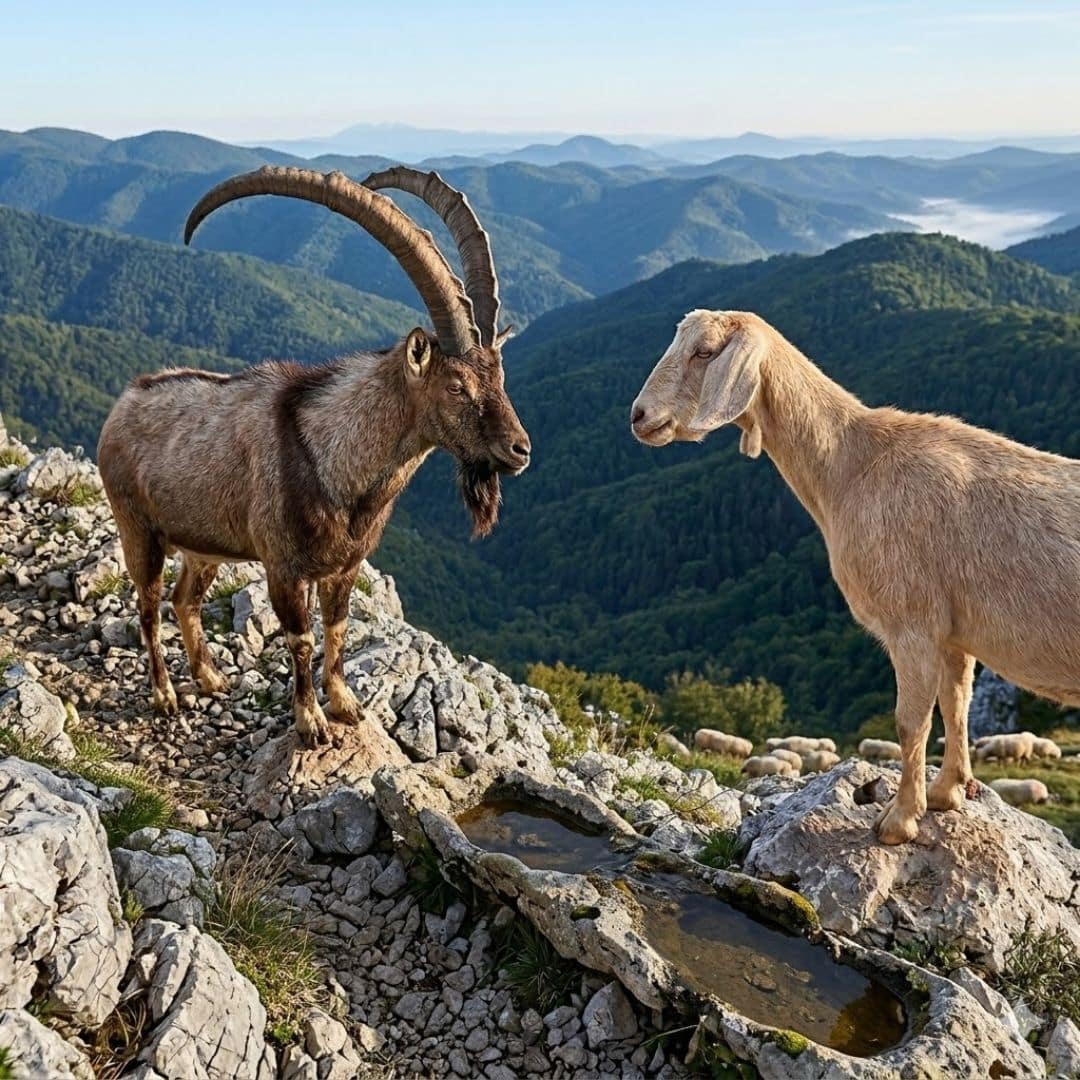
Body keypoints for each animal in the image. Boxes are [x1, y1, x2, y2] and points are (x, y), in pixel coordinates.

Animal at [98, 167, 530, 748]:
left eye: (500, 377)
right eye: (457, 386)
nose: (519, 449)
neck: (336, 462)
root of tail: (125, 401)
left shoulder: (345, 568)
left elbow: (338, 629)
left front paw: (346, 704)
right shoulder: (284, 568)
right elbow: (301, 639)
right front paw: (312, 723)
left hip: (204, 545)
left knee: (185, 598)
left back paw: (210, 676)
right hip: (138, 530)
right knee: (147, 606)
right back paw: (166, 694)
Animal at [630, 309, 1080, 844]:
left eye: (704, 351)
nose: (638, 416)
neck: (849, 465)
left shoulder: (912, 622)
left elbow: (910, 723)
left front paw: (898, 821)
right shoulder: (952, 631)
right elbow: (956, 704)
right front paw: (946, 794)